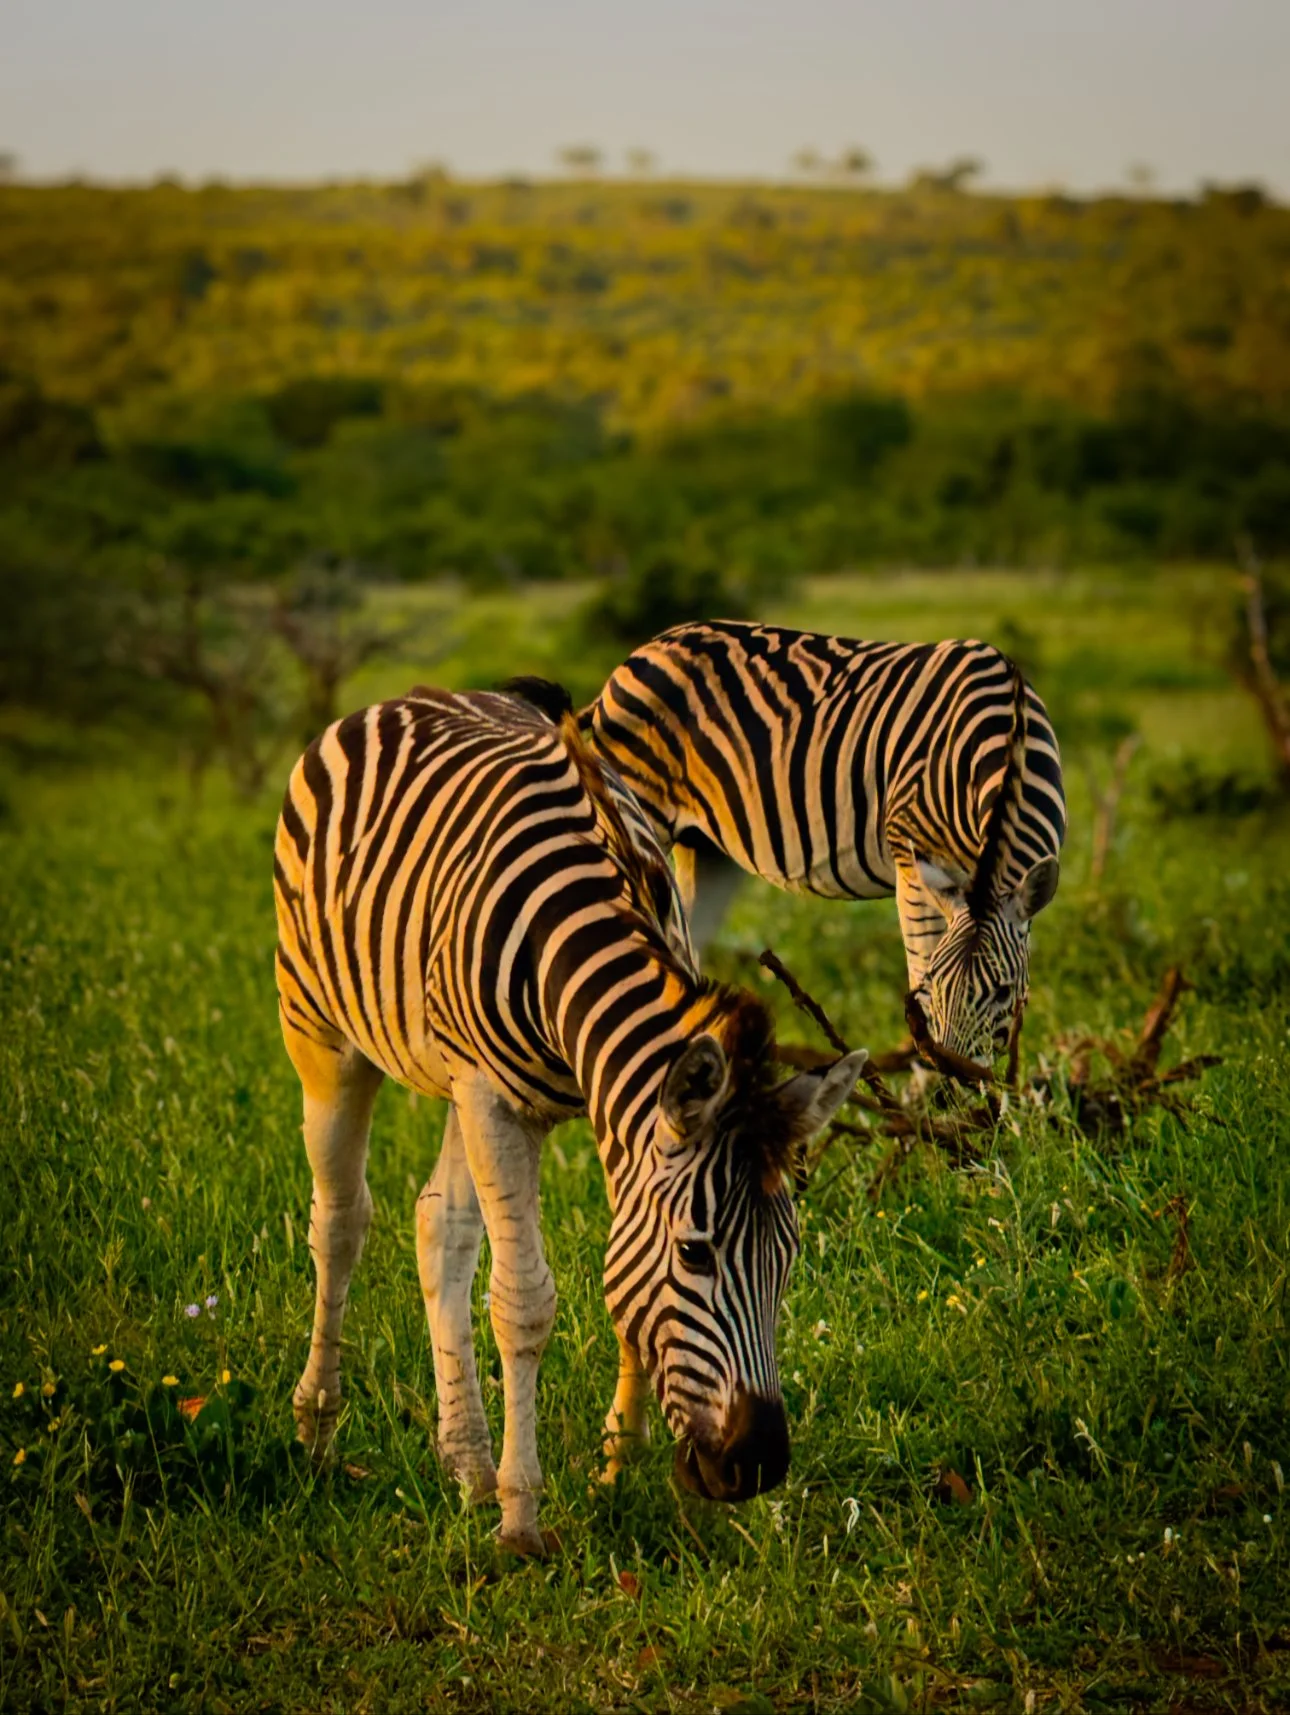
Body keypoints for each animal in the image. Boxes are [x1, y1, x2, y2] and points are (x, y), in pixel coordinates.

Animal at [273, 678, 864, 1555]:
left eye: (786, 1257)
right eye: (695, 1254)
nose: (755, 1464)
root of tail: (411, 694)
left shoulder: (600, 1106)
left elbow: (617, 1277)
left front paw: (617, 1464)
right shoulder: (497, 1097)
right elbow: (524, 1300)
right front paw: (523, 1516)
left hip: (455, 1081)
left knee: (437, 1224)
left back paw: (467, 1464)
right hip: (321, 1033)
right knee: (341, 1220)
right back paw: (318, 1428)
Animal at [583, 621, 1066, 1067]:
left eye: (1003, 991)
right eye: (935, 983)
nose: (959, 1076)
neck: (1010, 728)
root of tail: (639, 653)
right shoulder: (911, 861)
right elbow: (920, 971)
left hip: (704, 848)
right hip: (638, 810)